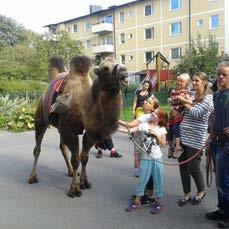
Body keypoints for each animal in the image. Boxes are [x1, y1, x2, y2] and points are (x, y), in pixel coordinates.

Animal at [27, 55, 128, 197]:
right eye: (105, 68)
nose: (124, 72)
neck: (86, 104)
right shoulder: (69, 129)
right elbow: (75, 159)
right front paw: (74, 189)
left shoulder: (90, 132)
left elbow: (84, 157)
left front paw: (84, 182)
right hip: (40, 119)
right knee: (37, 148)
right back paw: (33, 177)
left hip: (59, 126)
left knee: (62, 147)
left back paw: (70, 172)